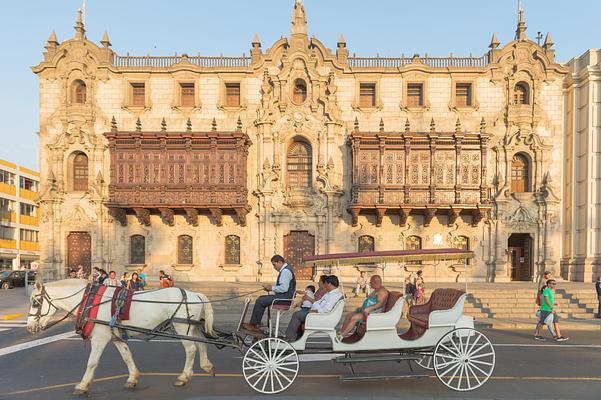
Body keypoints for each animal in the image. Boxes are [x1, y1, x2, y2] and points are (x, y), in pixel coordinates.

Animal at [27, 280, 218, 396]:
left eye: (36, 302)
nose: (29, 327)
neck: (91, 301)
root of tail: (195, 294)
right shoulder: (115, 336)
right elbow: (127, 356)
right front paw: (132, 378)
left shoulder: (100, 338)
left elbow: (92, 362)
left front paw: (83, 385)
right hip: (192, 327)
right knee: (202, 345)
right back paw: (207, 366)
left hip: (182, 327)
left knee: (191, 349)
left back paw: (183, 377)